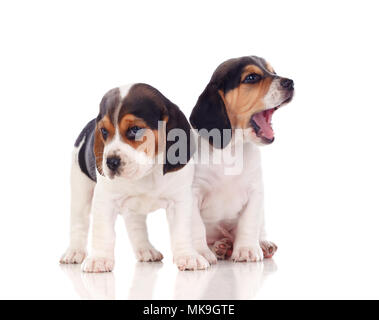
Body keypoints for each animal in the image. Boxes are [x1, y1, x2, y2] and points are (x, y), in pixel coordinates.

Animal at [60, 83, 212, 272]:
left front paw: (188, 256)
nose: (110, 162)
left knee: (135, 226)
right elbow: (103, 231)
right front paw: (99, 259)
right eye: (104, 131)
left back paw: (145, 250)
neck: (147, 174)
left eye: (135, 130)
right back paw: (74, 252)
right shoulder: (105, 200)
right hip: (80, 191)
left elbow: (182, 231)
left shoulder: (180, 200)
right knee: (78, 223)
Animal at [191, 56, 296, 262]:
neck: (231, 150)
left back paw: (262, 245)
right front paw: (201, 253)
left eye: (273, 71)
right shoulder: (193, 193)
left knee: (258, 230)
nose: (290, 82)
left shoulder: (255, 192)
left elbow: (249, 223)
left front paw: (247, 249)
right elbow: (196, 227)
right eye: (252, 77)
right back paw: (219, 247)